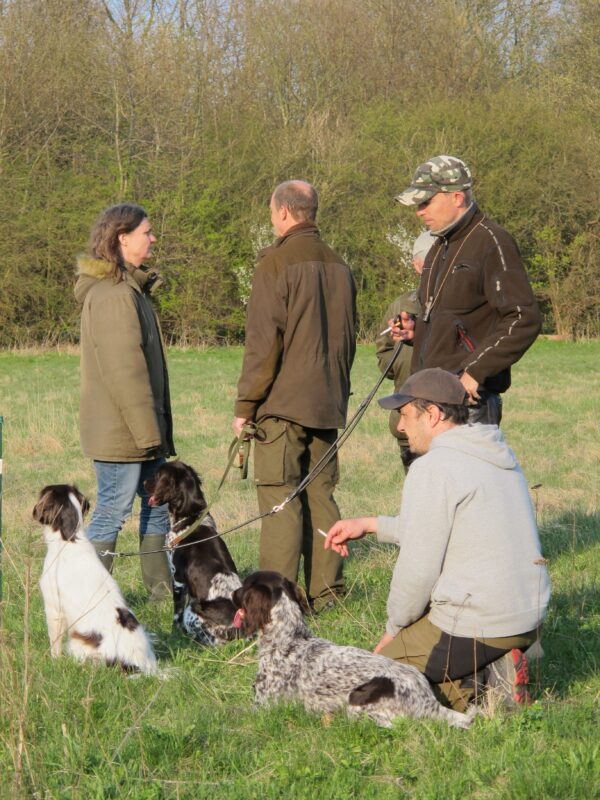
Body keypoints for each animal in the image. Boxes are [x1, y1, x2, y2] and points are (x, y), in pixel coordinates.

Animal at [232, 572, 476, 728]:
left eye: (244, 586)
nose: (232, 593)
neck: (290, 639)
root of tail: (428, 702)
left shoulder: (263, 707)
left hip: (355, 702)